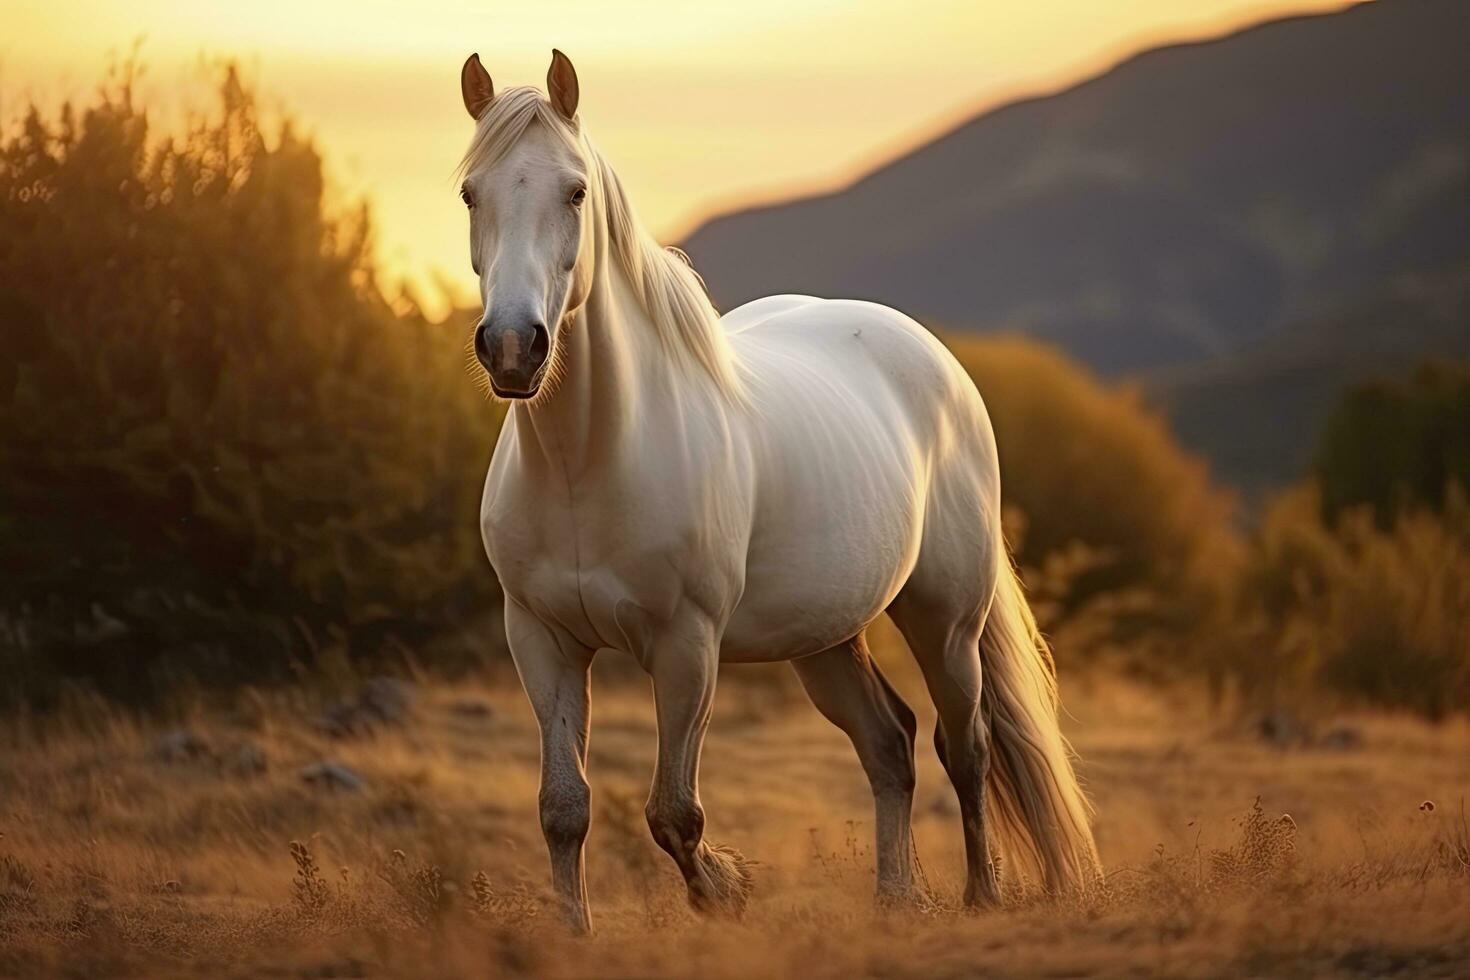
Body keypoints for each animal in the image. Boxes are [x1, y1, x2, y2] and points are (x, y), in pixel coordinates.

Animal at [458, 49, 1105, 934]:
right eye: (470, 193)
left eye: (575, 191)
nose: (513, 348)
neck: (587, 463)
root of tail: (936, 359)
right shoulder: (542, 641)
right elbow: (564, 809)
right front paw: (575, 933)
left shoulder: (687, 647)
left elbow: (674, 814)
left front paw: (726, 890)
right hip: (825, 639)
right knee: (890, 742)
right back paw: (895, 896)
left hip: (946, 620)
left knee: (964, 747)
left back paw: (981, 894)